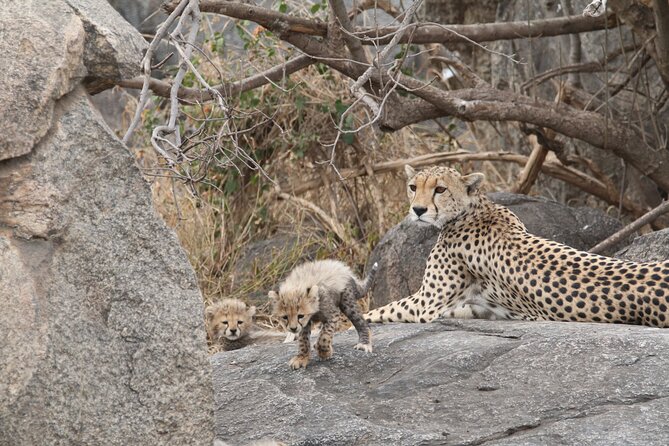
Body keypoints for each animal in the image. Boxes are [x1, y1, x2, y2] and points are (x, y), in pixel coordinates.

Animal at [362, 166, 668, 326]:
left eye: (440, 189)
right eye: (413, 186)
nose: (418, 210)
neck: (474, 209)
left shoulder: (425, 304)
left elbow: (382, 310)